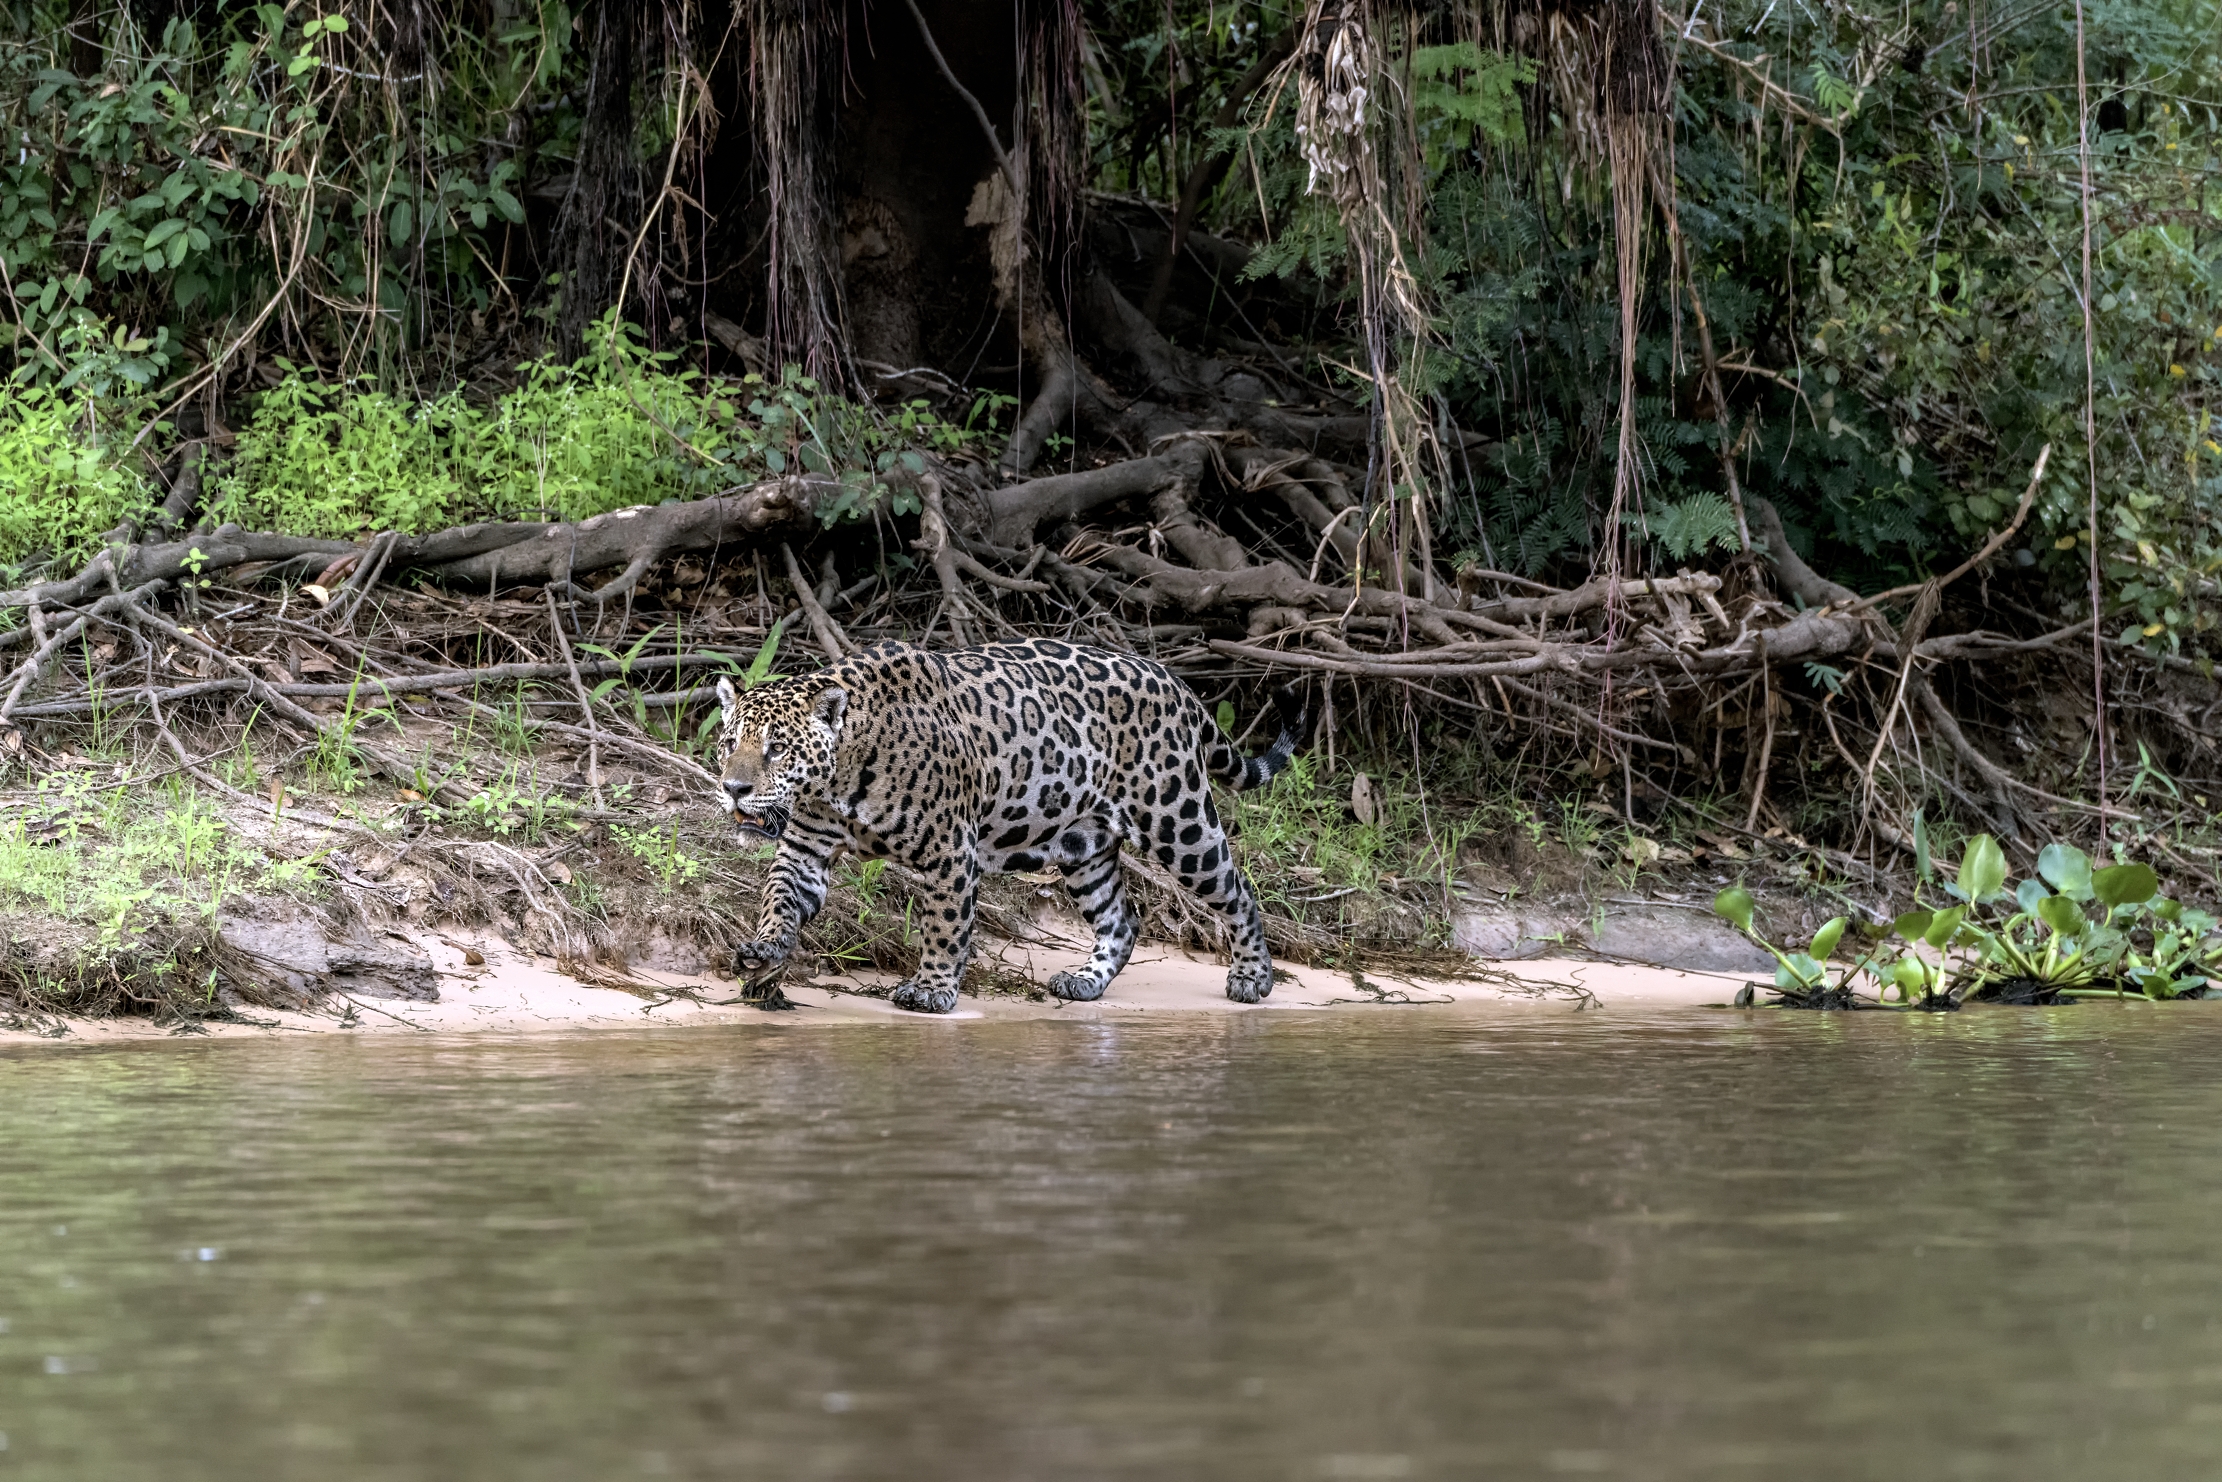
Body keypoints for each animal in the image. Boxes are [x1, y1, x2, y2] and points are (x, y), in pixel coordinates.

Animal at [711, 638, 1305, 1014]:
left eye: (776, 750)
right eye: (729, 743)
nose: (734, 788)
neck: (838, 778)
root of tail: (1175, 682)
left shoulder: (950, 851)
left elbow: (945, 925)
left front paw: (932, 990)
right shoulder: (805, 849)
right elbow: (780, 901)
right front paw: (763, 959)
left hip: (1178, 821)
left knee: (1238, 891)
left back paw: (1253, 977)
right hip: (1083, 844)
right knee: (1121, 919)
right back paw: (1084, 982)